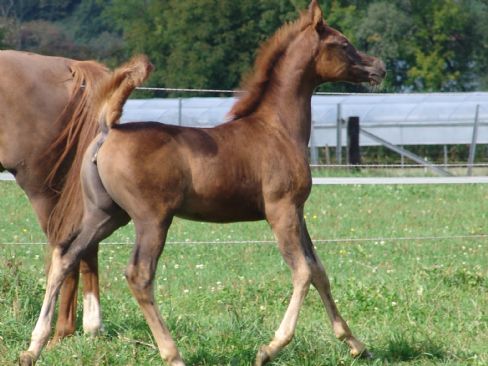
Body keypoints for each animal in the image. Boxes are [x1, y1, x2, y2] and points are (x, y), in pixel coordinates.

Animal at [20, 1, 386, 364]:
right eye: (343, 44)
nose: (379, 67)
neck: (277, 129)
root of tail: (109, 128)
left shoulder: (298, 210)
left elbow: (318, 269)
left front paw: (356, 344)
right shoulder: (281, 209)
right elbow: (303, 272)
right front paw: (269, 348)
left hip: (107, 214)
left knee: (65, 255)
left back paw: (33, 347)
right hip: (151, 219)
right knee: (138, 275)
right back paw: (173, 353)